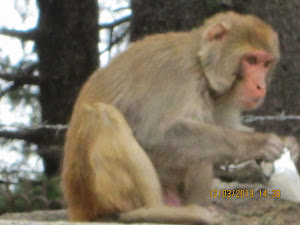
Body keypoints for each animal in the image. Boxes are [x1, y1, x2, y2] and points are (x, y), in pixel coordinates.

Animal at [61, 11, 298, 222]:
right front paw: (259, 143)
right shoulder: (177, 74)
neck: (200, 65)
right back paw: (148, 212)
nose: (261, 86)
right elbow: (155, 135)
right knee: (103, 117)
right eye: (251, 59)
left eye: (265, 63)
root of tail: (76, 205)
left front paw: (290, 146)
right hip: (92, 194)